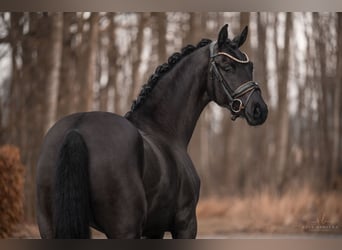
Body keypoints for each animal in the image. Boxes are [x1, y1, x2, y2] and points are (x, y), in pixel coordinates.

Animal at [36, 24, 268, 239]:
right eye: (227, 66)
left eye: (250, 66)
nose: (259, 110)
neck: (163, 130)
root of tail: (77, 130)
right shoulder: (185, 224)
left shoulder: (153, 230)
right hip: (125, 229)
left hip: (50, 227)